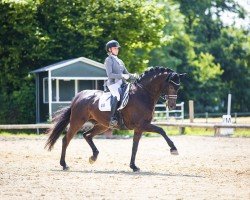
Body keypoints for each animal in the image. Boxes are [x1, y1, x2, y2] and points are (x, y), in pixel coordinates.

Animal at [45, 67, 185, 172]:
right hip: (77, 121)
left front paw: (133, 166)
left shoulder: (139, 128)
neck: (143, 93)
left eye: (178, 88)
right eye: (171, 87)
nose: (172, 106)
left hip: (102, 125)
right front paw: (174, 149)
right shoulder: (142, 125)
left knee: (87, 135)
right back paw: (64, 164)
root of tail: (79, 96)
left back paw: (93, 157)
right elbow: (162, 130)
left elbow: (135, 146)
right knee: (66, 139)